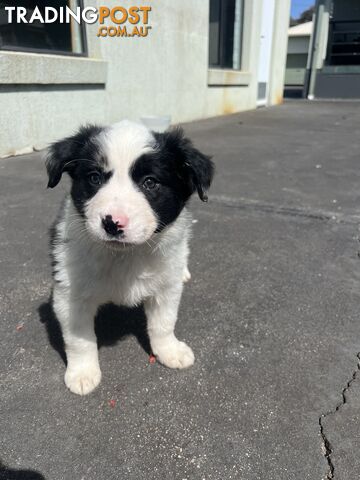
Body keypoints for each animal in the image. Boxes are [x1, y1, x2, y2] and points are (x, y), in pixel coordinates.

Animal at [45, 119, 214, 394]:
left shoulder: (166, 286)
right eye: (94, 178)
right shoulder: (70, 293)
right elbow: (79, 338)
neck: (126, 256)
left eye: (150, 182)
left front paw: (169, 351)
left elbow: (164, 322)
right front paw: (82, 373)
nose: (112, 223)